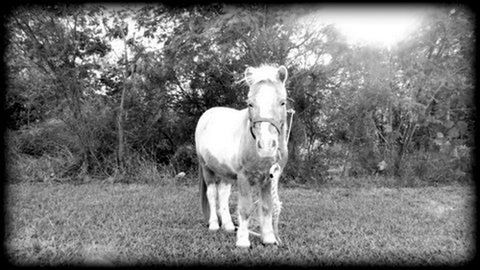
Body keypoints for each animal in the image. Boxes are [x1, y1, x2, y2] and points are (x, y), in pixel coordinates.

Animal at [195, 65, 288, 247]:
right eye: (250, 104)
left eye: (283, 102)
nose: (266, 146)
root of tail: (207, 114)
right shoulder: (244, 176)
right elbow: (245, 208)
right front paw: (243, 241)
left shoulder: (268, 178)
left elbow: (266, 207)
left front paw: (269, 238)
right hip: (207, 168)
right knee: (212, 195)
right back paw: (214, 225)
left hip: (225, 172)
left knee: (223, 195)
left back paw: (229, 226)